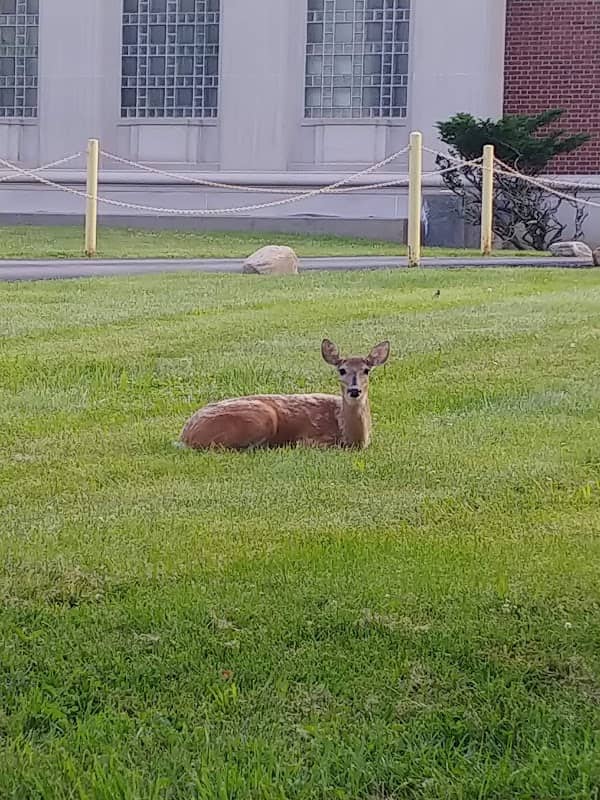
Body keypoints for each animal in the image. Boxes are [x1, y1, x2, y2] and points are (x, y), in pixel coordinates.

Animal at [179, 339, 390, 450]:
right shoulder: (312, 438)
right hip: (261, 418)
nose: (354, 390)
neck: (354, 439)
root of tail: (185, 437)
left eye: (366, 370)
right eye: (342, 370)